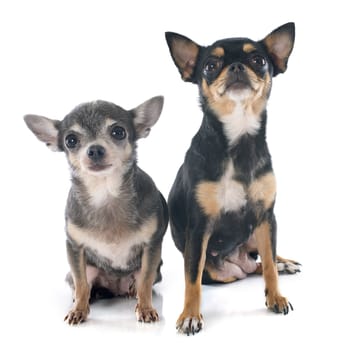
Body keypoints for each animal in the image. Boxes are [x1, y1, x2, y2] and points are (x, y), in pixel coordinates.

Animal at [23, 96, 169, 326]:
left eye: (118, 132)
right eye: (70, 140)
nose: (95, 150)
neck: (105, 193)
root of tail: (115, 288)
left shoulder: (152, 247)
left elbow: (145, 282)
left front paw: (145, 308)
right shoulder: (74, 248)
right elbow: (81, 283)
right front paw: (78, 311)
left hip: (154, 270)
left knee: (140, 283)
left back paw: (132, 293)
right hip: (84, 270)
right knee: (82, 284)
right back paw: (88, 297)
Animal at [165, 23, 300, 334]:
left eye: (259, 60)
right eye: (210, 66)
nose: (237, 66)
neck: (239, 139)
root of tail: (240, 263)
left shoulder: (266, 217)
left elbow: (269, 267)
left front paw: (276, 297)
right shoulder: (199, 229)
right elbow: (192, 280)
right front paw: (190, 315)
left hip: (259, 232)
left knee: (263, 260)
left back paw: (284, 263)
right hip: (219, 272)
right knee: (248, 269)